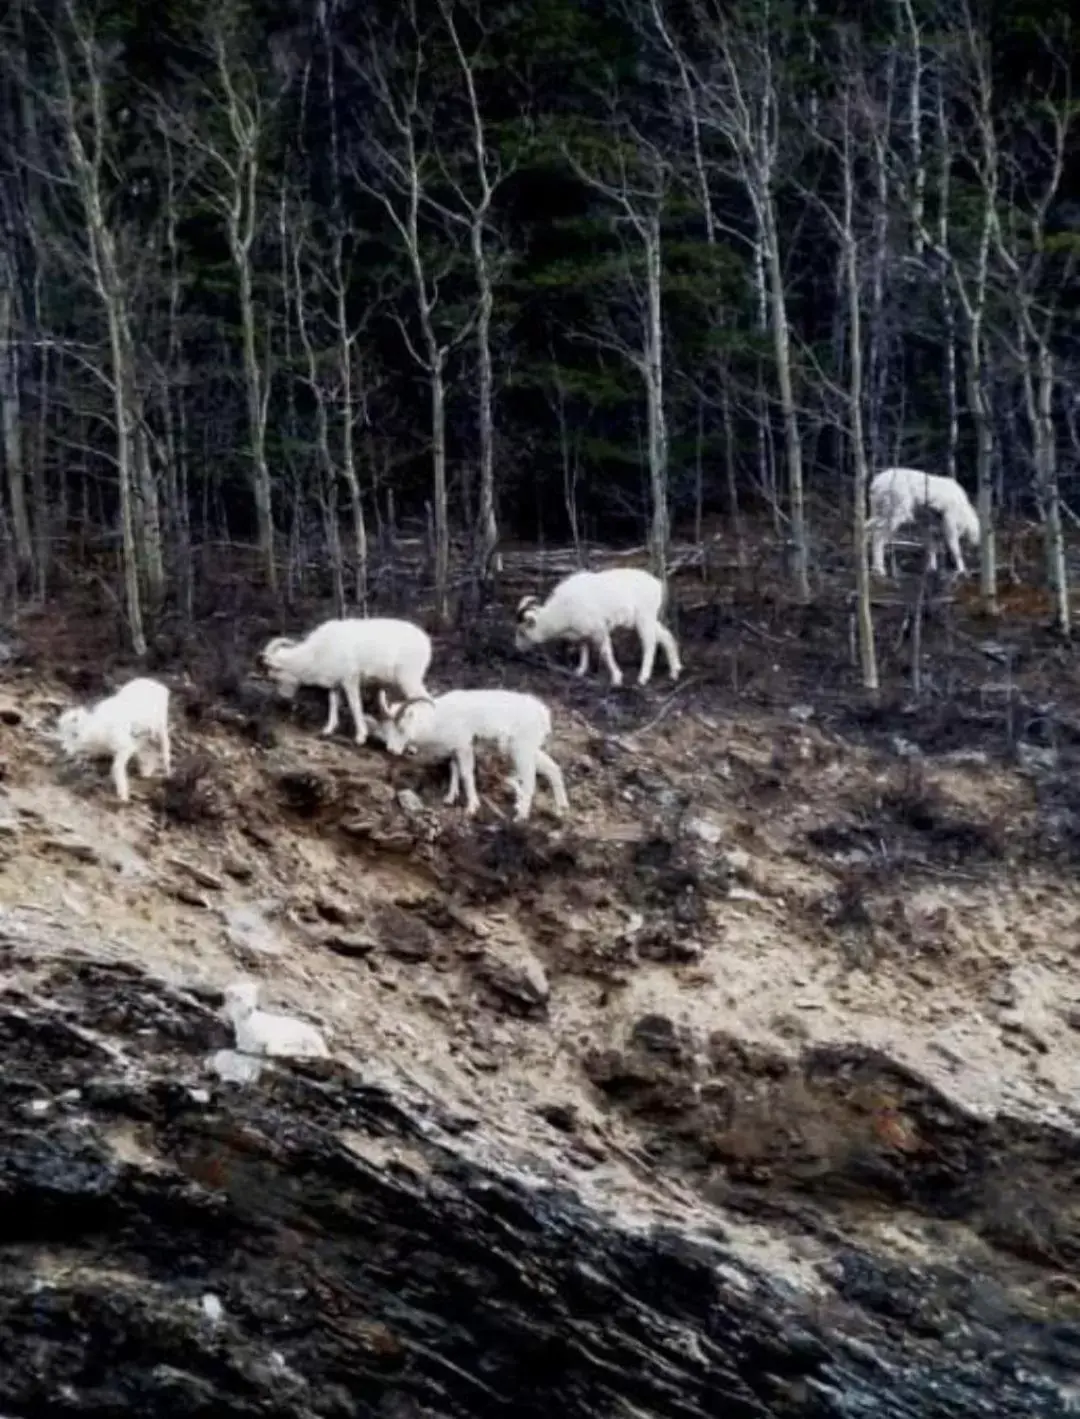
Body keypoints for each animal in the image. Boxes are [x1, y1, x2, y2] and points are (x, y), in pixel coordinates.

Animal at [54, 672, 171, 800]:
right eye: (62, 732)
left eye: (75, 734)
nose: (64, 749)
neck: (100, 729)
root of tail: (158, 686)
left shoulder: (125, 749)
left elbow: (116, 768)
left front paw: (123, 796)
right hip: (143, 736)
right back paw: (146, 773)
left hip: (161, 729)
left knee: (165, 749)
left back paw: (167, 774)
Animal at [259, 618, 431, 749]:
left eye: (275, 677)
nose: (283, 699)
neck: (316, 653)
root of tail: (425, 641)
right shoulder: (335, 685)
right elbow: (333, 704)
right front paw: (327, 731)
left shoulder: (350, 680)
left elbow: (355, 706)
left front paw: (360, 738)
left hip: (409, 680)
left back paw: (412, 746)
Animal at [374, 686, 567, 823]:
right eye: (388, 728)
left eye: (401, 728)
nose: (392, 750)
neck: (437, 720)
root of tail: (542, 713)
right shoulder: (455, 750)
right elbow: (454, 770)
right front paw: (449, 798)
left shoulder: (464, 746)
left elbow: (466, 774)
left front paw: (472, 808)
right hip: (527, 749)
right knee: (552, 768)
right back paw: (560, 810)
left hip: (521, 750)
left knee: (530, 779)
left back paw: (520, 816)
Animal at [510, 564, 678, 686]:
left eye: (521, 631)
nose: (517, 648)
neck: (559, 612)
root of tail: (657, 585)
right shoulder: (582, 632)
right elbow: (583, 649)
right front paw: (579, 671)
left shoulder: (599, 630)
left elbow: (605, 652)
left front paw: (616, 679)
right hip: (648, 619)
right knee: (666, 636)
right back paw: (675, 671)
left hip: (644, 618)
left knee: (650, 643)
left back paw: (643, 678)